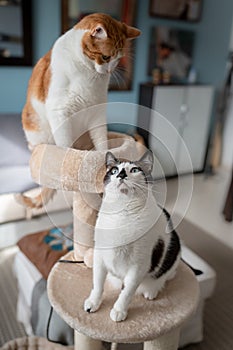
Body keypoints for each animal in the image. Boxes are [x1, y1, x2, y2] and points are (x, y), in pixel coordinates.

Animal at [16, 13, 140, 208]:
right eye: (106, 57)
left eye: (118, 58)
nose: (110, 70)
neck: (88, 73)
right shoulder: (60, 111)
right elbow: (66, 145)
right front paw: (68, 161)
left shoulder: (97, 114)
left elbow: (101, 140)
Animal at [84, 150, 181, 322]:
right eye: (114, 170)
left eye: (135, 170)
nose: (121, 174)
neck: (122, 214)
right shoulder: (99, 256)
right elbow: (97, 283)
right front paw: (93, 302)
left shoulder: (139, 265)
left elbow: (127, 292)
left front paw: (119, 310)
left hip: (174, 251)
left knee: (166, 275)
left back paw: (151, 290)